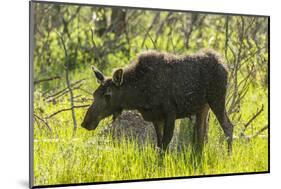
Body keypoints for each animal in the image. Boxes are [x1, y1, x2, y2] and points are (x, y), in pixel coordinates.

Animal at [81, 49, 234, 154]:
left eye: (108, 95)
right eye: (94, 94)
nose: (86, 122)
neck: (139, 95)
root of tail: (224, 64)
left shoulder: (170, 112)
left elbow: (165, 144)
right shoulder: (156, 117)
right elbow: (159, 144)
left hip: (217, 99)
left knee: (228, 126)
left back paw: (228, 156)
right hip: (203, 107)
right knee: (201, 135)